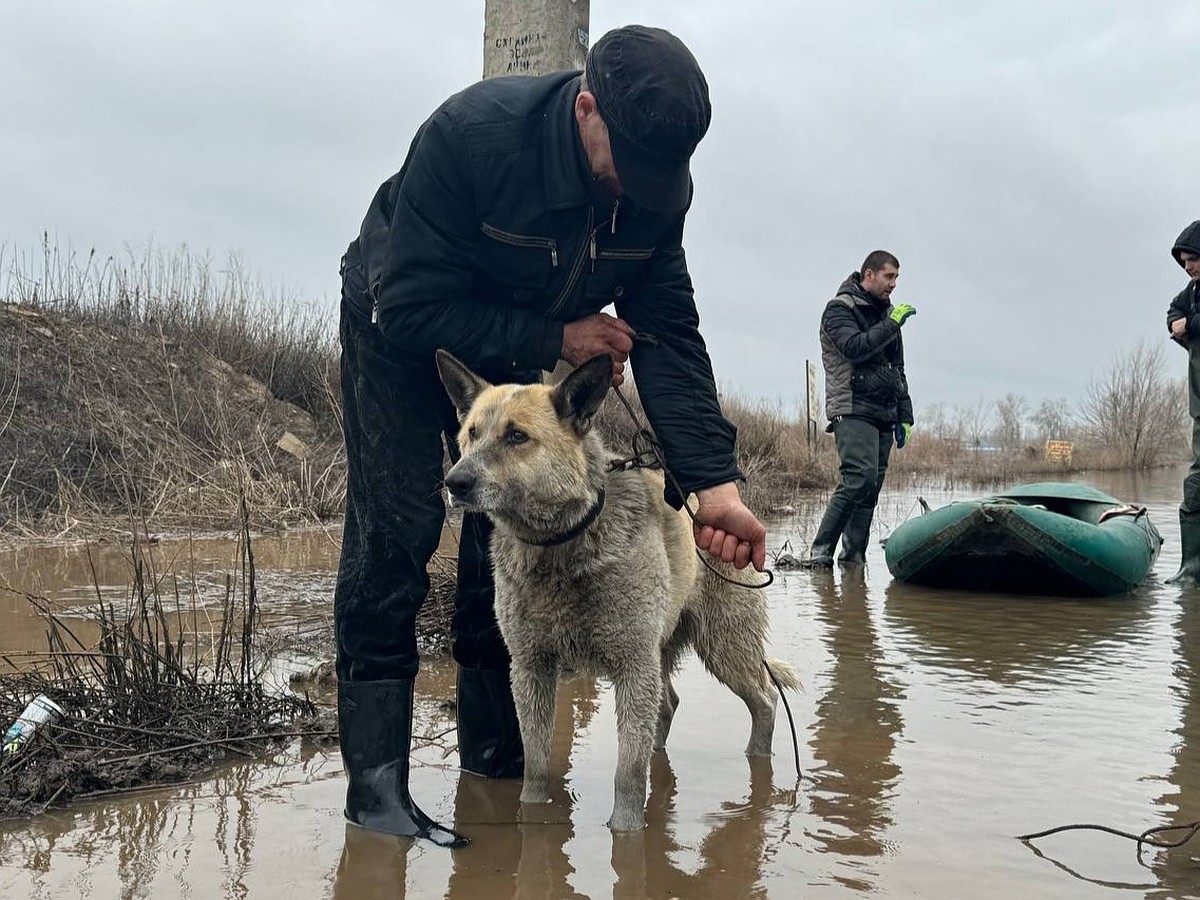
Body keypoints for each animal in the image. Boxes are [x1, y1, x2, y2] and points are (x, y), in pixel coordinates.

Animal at [434, 350, 796, 830]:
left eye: (517, 435)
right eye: (471, 433)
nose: (455, 482)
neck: (560, 544)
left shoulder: (631, 666)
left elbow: (627, 774)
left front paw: (627, 834)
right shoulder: (531, 667)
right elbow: (535, 765)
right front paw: (530, 817)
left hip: (723, 645)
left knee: (765, 700)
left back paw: (758, 764)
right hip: (665, 650)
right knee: (668, 706)